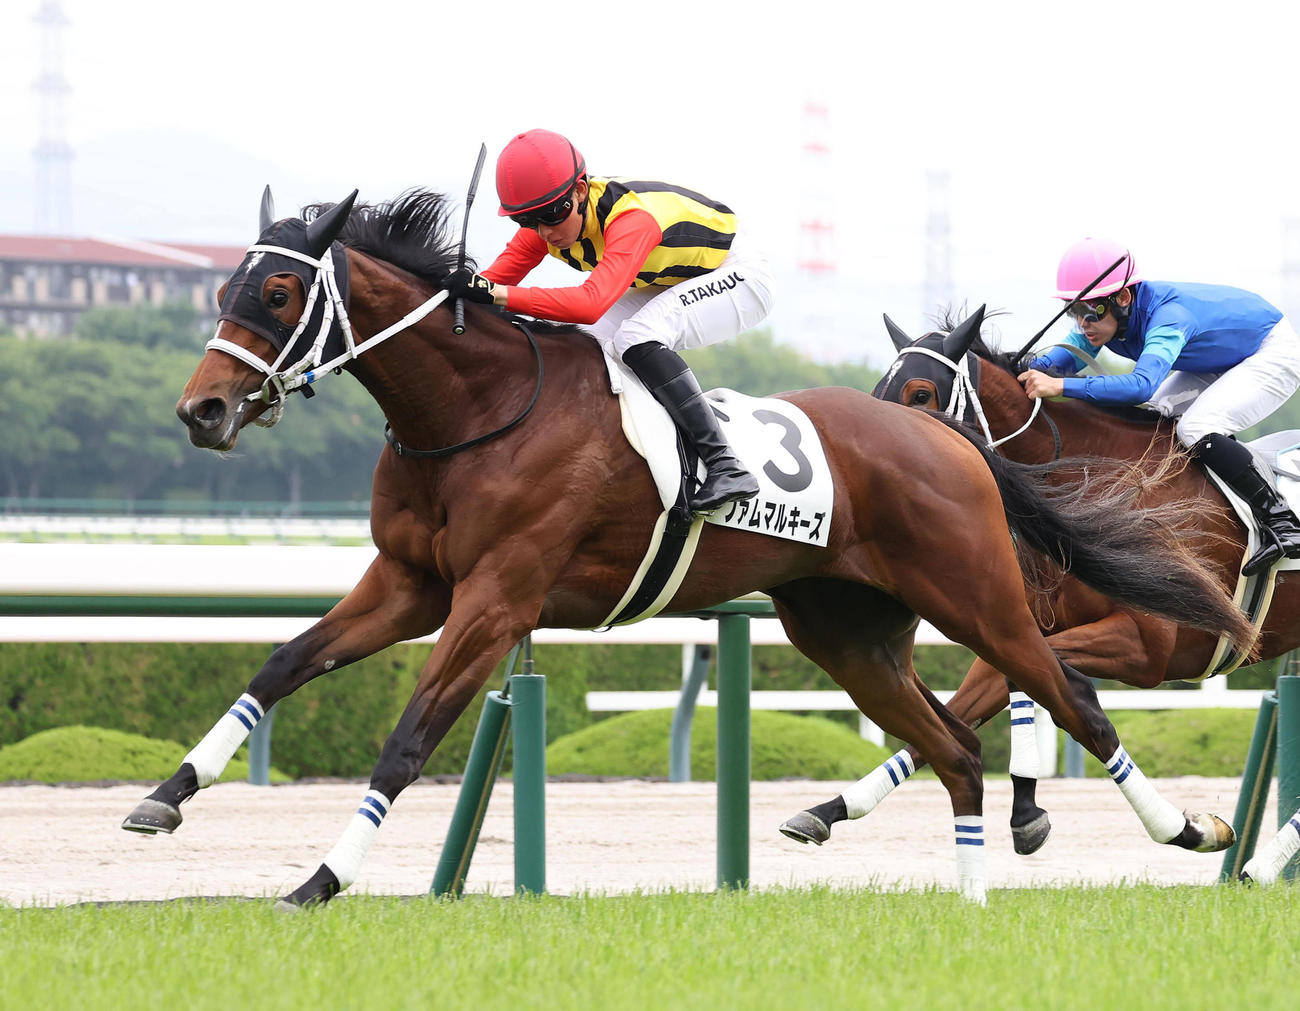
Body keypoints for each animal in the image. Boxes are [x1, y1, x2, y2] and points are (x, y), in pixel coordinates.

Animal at [781, 305, 1299, 856]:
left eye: (920, 394)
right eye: (880, 387)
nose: (874, 451)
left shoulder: (1148, 648)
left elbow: (1034, 687)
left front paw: (1027, 809)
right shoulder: (1025, 629)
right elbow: (972, 706)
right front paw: (828, 810)